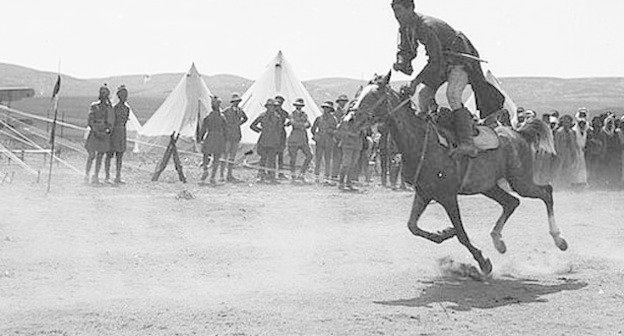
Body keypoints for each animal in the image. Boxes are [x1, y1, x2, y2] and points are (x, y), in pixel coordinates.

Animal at [348, 72, 568, 274]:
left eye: (374, 95)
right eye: (360, 93)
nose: (350, 119)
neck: (422, 143)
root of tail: (518, 133)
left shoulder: (447, 196)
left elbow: (462, 234)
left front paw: (483, 262)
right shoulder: (424, 193)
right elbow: (413, 226)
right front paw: (444, 232)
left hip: (520, 181)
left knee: (546, 192)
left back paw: (559, 239)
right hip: (488, 186)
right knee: (512, 202)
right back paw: (498, 241)